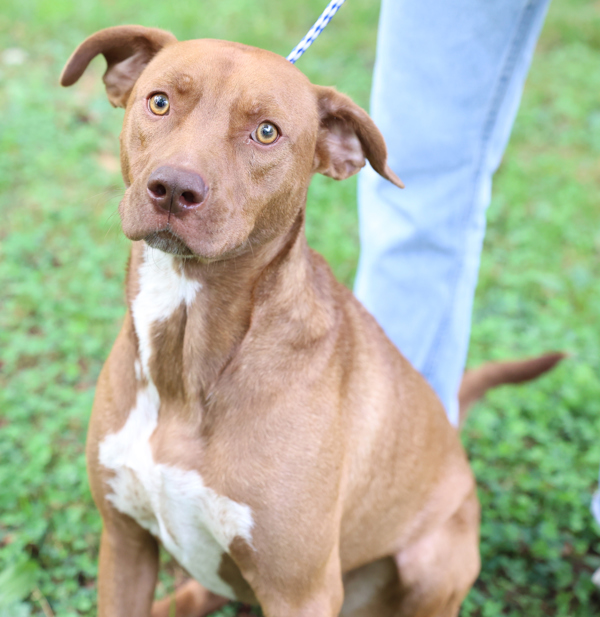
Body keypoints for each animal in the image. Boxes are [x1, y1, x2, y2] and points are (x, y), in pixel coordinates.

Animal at [58, 25, 560, 616]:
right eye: (159, 102)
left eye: (266, 132)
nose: (175, 189)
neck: (188, 358)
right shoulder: (124, 542)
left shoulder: (302, 590)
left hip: (434, 562)